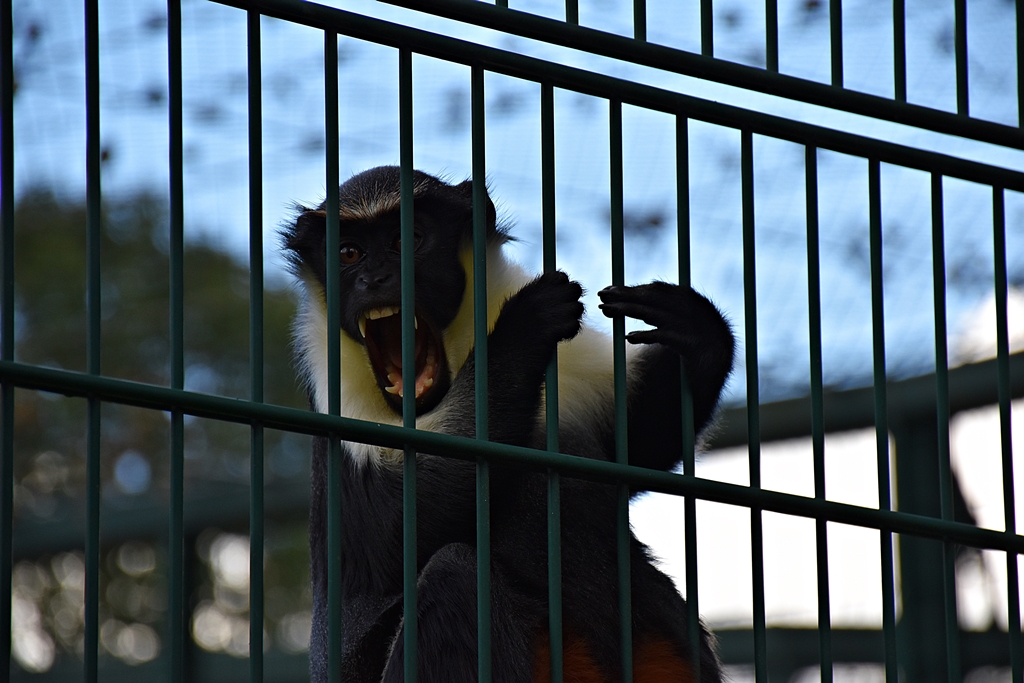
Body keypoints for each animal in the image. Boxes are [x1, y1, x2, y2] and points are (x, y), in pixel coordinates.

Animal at [283, 166, 734, 683]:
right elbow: (386, 534)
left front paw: (697, 330)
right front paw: (525, 324)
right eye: (349, 253)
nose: (374, 278)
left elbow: (636, 446)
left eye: (407, 239)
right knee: (454, 574)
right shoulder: (336, 404)